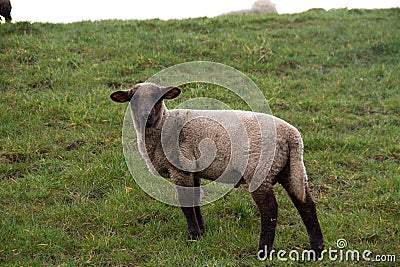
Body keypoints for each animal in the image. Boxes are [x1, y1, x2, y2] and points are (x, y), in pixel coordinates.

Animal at [110, 82, 324, 258]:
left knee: (270, 209)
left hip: (260, 169)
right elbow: (195, 201)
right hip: (289, 169)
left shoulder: (181, 169)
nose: (146, 117)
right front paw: (201, 233)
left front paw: (192, 237)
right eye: (133, 98)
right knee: (306, 204)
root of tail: (292, 136)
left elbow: (186, 204)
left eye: (159, 98)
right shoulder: (193, 170)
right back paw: (317, 250)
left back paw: (263, 251)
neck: (163, 126)